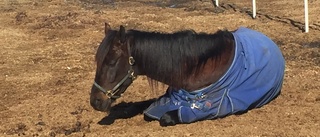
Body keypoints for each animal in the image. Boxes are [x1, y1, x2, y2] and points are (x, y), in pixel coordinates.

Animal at [90, 22, 284, 126]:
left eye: (112, 62)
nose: (95, 101)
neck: (196, 68)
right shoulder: (169, 96)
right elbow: (145, 106)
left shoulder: (209, 108)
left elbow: (165, 116)